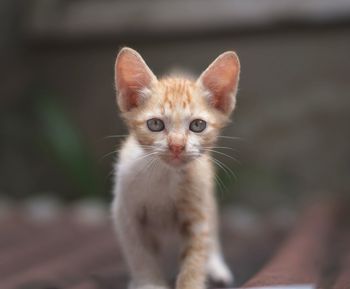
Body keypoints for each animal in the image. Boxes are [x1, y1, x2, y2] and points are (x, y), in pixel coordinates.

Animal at [112, 47, 241, 288]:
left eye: (198, 125)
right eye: (155, 124)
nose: (177, 146)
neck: (164, 176)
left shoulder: (198, 214)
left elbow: (195, 258)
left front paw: (192, 280)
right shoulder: (125, 212)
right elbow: (139, 254)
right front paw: (148, 282)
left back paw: (216, 266)